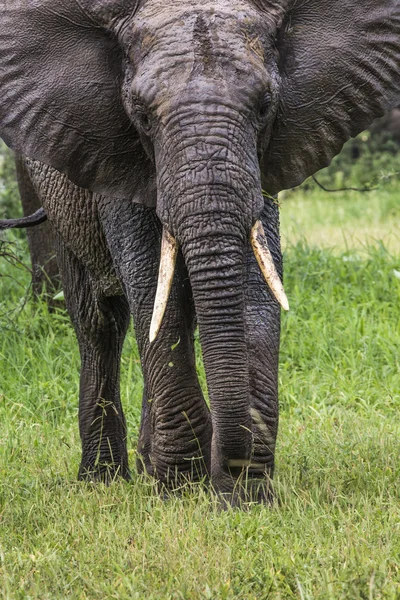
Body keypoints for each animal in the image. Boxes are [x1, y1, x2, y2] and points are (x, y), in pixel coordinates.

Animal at [0, 0, 400, 506]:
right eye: (140, 114)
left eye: (265, 106)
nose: (229, 472)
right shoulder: (116, 154)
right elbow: (152, 287)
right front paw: (182, 488)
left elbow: (254, 288)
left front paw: (244, 492)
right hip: (58, 198)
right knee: (100, 322)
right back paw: (103, 478)